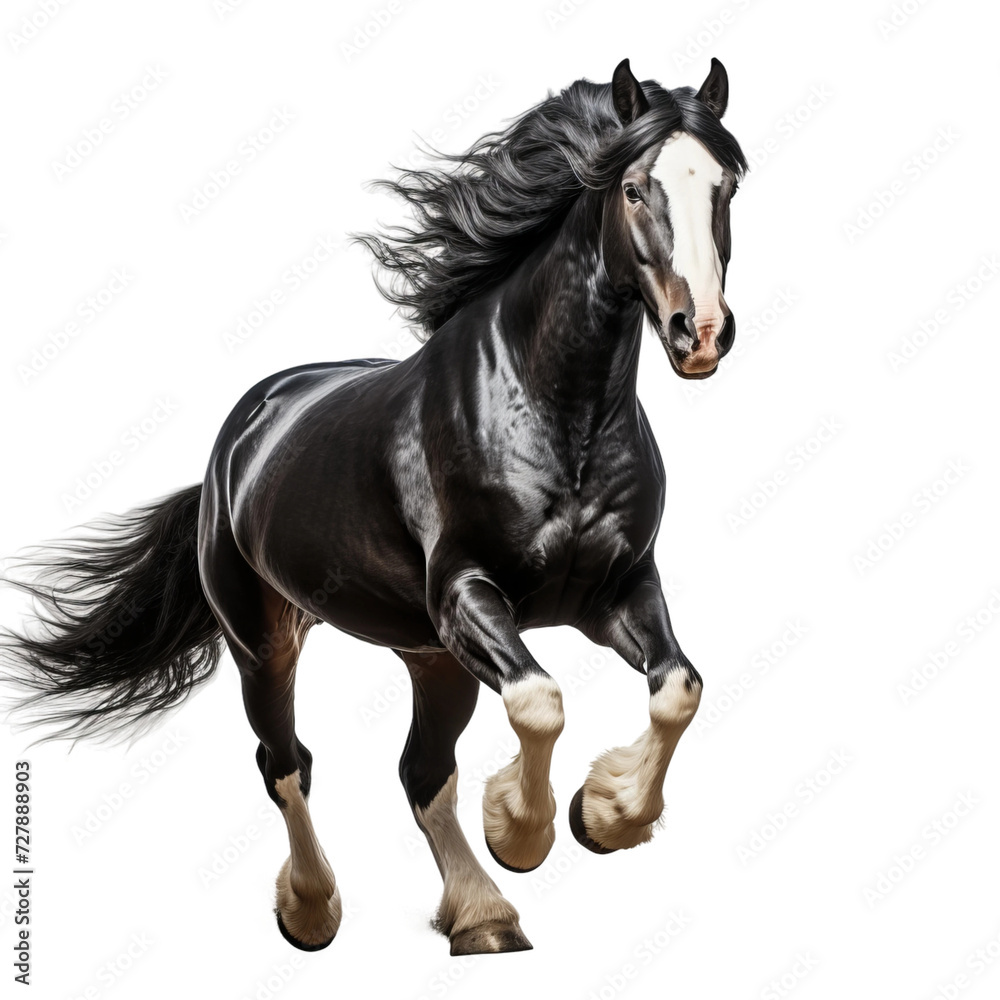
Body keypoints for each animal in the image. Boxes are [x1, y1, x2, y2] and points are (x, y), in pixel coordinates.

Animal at [1, 58, 745, 956]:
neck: (557, 414)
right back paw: (314, 910)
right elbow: (541, 702)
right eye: (635, 188)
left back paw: (484, 918)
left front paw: (603, 816)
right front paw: (522, 830)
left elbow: (679, 690)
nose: (699, 333)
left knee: (420, 774)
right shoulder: (468, 595)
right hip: (266, 644)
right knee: (286, 763)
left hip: (434, 659)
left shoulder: (616, 589)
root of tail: (233, 446)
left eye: (728, 186)